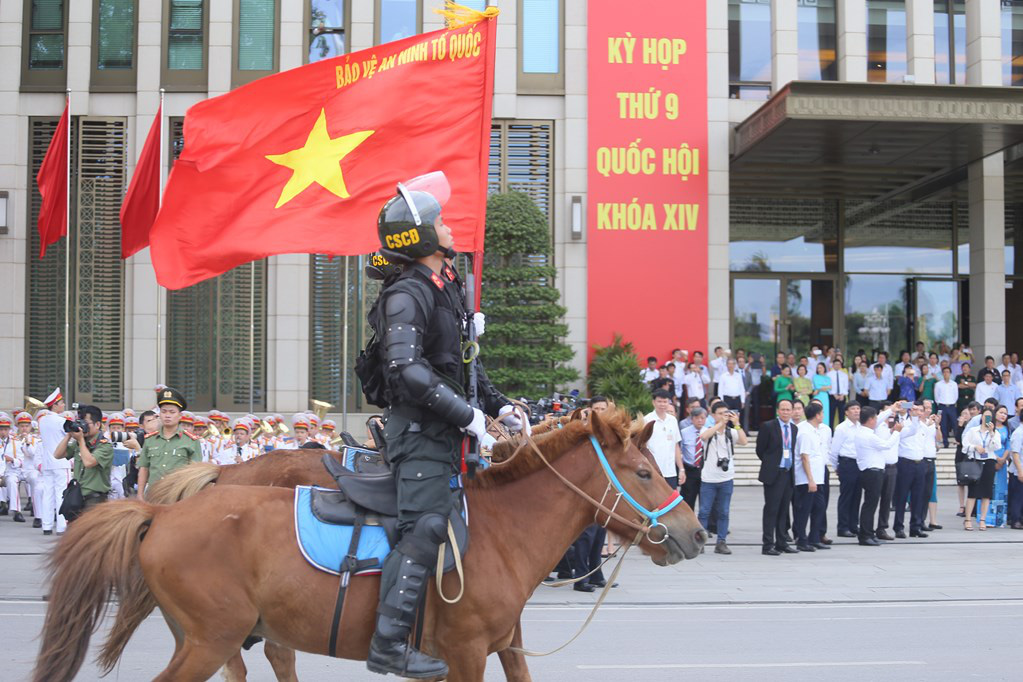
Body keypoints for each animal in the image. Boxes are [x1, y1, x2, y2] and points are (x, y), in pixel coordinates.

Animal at [31, 411, 703, 682]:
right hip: (208, 638)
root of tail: (160, 510)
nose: (694, 533)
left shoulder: (498, 648)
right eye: (644, 473)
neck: (502, 529)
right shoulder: (465, 655)